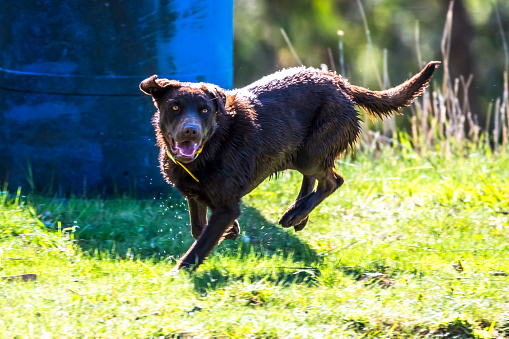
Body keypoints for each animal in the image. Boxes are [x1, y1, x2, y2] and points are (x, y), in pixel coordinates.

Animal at [139, 61, 436, 274]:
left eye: (204, 110)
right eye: (175, 106)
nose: (190, 131)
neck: (212, 144)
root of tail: (340, 83)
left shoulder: (227, 205)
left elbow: (202, 242)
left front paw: (180, 271)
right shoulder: (196, 195)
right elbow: (199, 228)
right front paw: (231, 231)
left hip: (310, 152)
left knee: (332, 180)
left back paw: (297, 213)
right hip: (298, 151)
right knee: (313, 179)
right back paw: (298, 214)